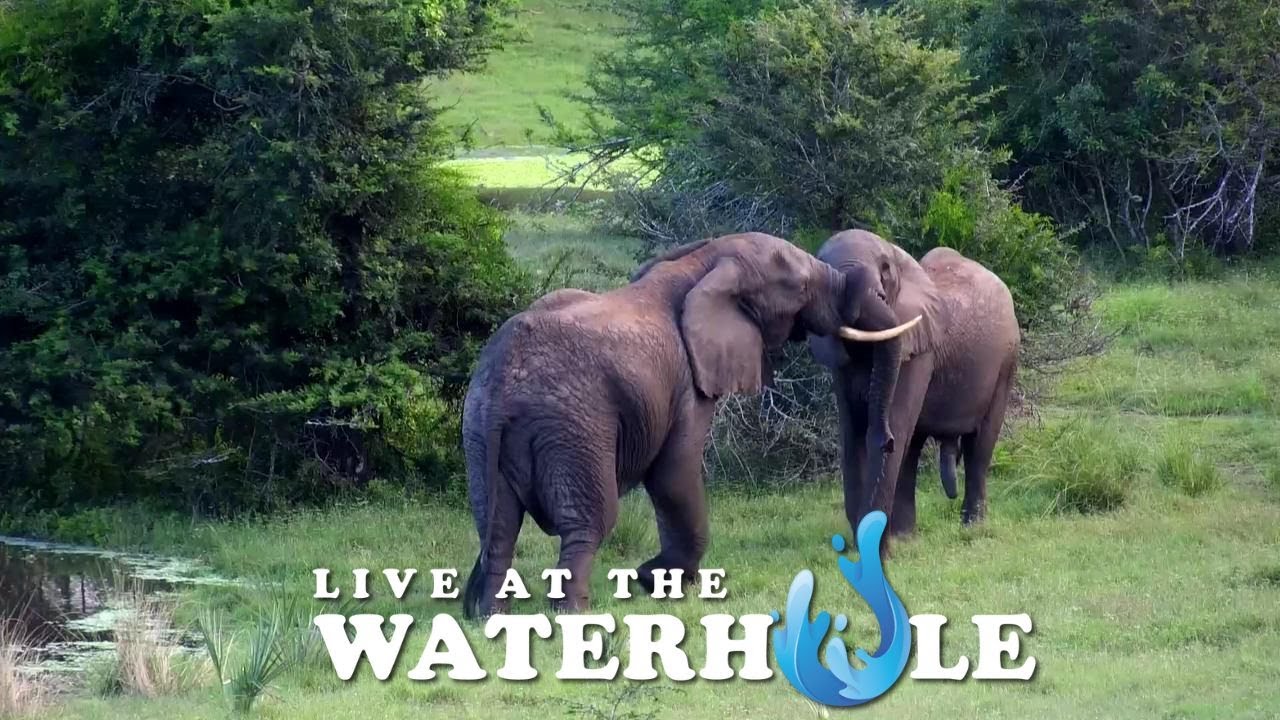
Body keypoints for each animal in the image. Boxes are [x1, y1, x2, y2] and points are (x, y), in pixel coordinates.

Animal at [461, 232, 920, 617]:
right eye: (802, 286)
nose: (886, 440)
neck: (704, 260)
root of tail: (503, 381)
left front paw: (654, 579)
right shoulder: (687, 378)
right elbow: (673, 473)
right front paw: (657, 580)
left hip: (480, 431)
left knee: (496, 525)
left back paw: (486, 616)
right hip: (574, 427)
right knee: (588, 521)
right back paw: (572, 613)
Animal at [808, 230, 1019, 545]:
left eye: (885, 269)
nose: (886, 439)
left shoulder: (917, 349)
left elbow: (891, 426)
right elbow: (852, 432)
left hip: (1006, 362)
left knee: (978, 445)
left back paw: (972, 527)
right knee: (912, 448)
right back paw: (907, 537)